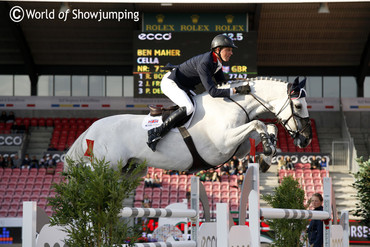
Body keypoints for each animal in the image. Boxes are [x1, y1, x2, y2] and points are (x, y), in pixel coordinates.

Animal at [66, 78, 312, 173]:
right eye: (299, 105)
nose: (306, 139)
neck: (231, 104)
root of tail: (91, 128)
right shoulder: (223, 143)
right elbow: (259, 124)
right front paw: (268, 150)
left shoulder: (237, 148)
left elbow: (266, 128)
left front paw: (267, 155)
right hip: (107, 166)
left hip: (130, 170)